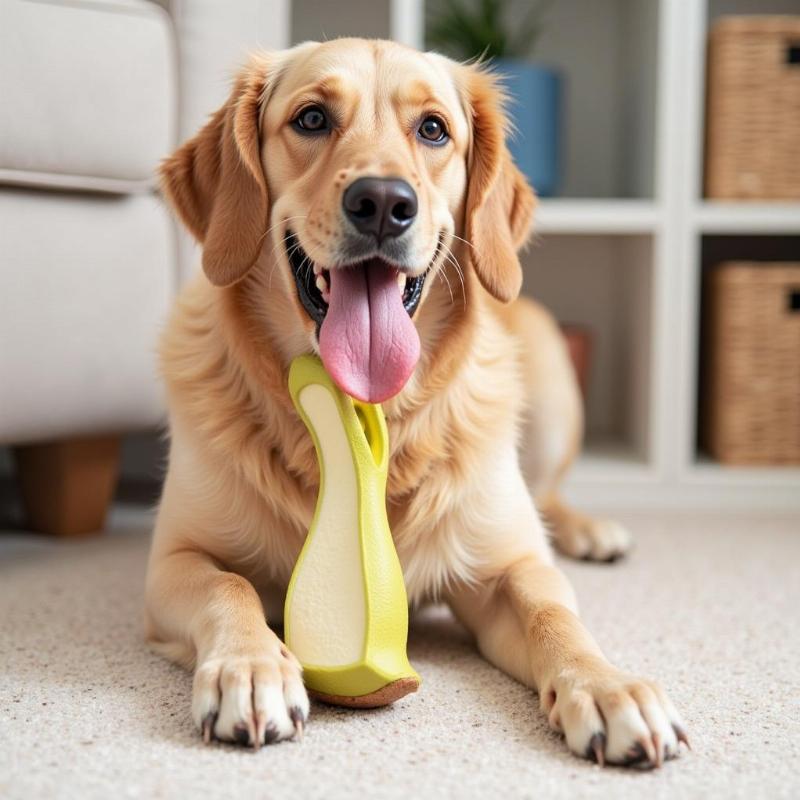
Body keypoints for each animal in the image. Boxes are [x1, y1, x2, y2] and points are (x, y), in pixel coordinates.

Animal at [148, 40, 688, 764]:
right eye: (312, 118)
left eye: (433, 129)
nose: (381, 201)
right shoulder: (174, 560)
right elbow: (226, 586)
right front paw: (251, 667)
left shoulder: (508, 568)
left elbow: (553, 614)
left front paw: (608, 686)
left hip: (551, 377)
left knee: (548, 497)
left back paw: (589, 531)